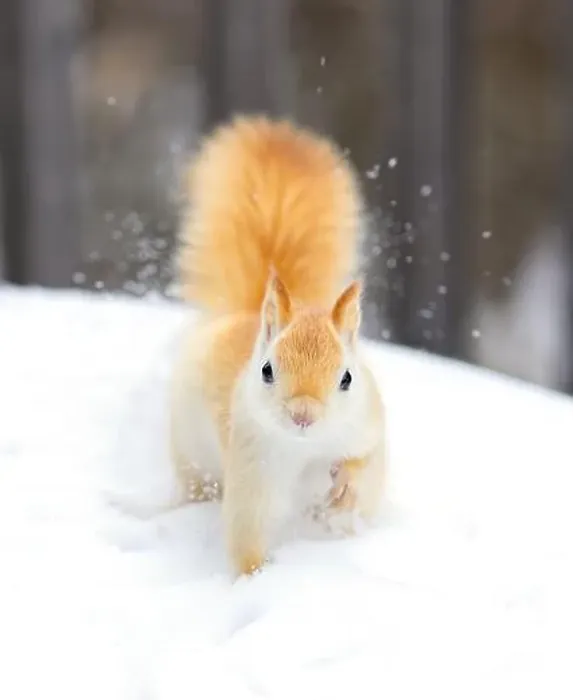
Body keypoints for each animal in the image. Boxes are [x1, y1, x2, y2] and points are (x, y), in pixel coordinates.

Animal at [169, 115, 386, 577]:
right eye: (267, 370)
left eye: (347, 377)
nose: (303, 415)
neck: (306, 449)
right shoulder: (253, 472)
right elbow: (248, 538)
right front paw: (259, 579)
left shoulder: (369, 428)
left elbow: (364, 466)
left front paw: (346, 488)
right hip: (190, 451)